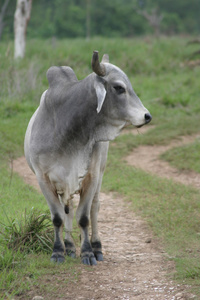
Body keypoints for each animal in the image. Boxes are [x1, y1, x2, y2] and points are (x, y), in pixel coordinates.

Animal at [24, 51, 152, 264]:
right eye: (119, 87)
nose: (147, 116)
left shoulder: (91, 176)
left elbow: (84, 217)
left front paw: (87, 252)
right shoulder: (43, 178)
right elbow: (57, 217)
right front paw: (58, 251)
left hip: (100, 173)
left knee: (94, 208)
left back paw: (96, 246)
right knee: (67, 208)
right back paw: (69, 246)